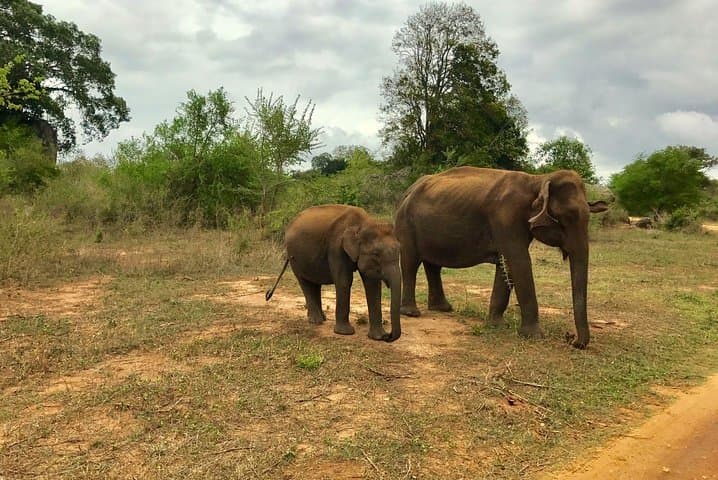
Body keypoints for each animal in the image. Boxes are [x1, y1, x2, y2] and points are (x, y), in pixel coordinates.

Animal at [266, 204, 401, 342]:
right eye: (376, 254)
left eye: (399, 250)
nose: (388, 336)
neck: (363, 223)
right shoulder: (336, 248)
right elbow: (344, 282)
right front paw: (345, 333)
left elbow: (372, 285)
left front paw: (377, 337)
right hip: (295, 257)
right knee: (305, 283)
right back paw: (316, 321)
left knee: (315, 284)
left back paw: (322, 318)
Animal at [394, 167, 608, 349]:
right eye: (563, 218)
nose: (572, 340)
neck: (538, 180)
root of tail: (407, 191)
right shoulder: (506, 218)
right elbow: (519, 260)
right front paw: (534, 336)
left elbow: (506, 265)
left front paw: (497, 325)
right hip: (405, 223)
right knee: (410, 262)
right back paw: (412, 313)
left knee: (433, 265)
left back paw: (443, 309)